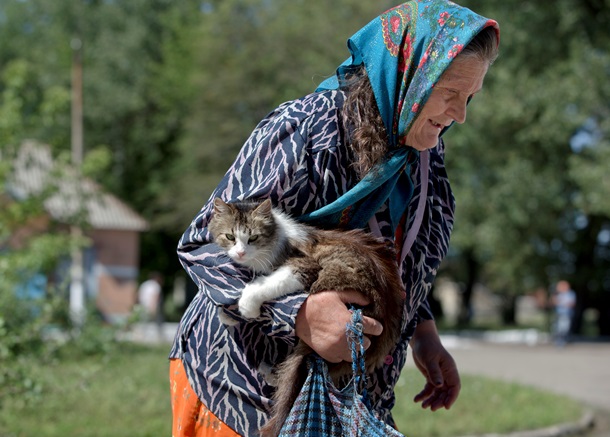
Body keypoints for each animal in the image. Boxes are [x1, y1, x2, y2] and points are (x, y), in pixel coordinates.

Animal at [207, 198, 402, 436]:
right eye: (230, 237)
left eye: (253, 238)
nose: (241, 253)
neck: (276, 238)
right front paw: (228, 313)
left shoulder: (303, 267)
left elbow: (266, 285)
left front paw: (247, 306)